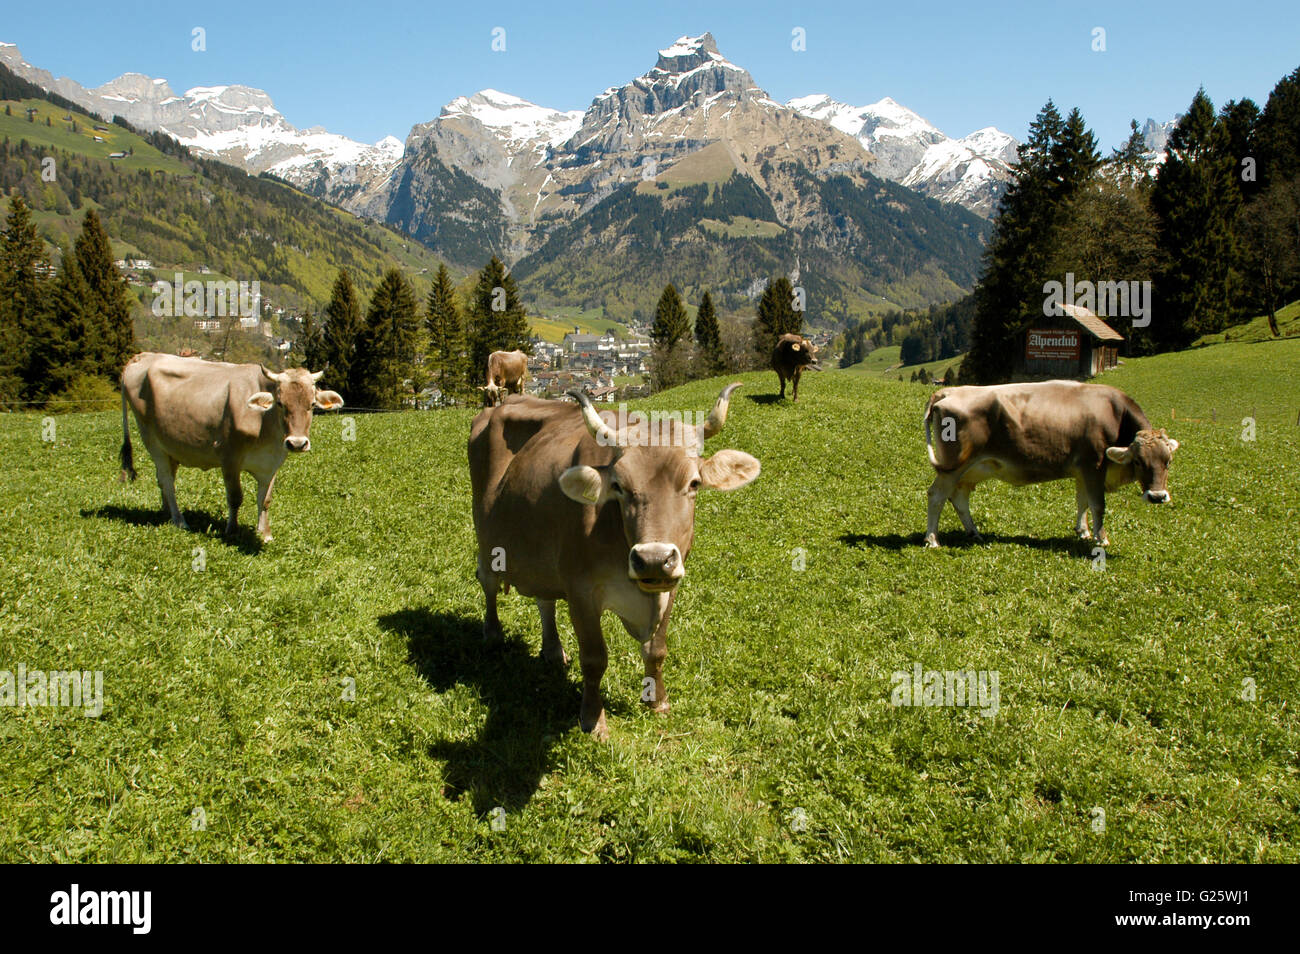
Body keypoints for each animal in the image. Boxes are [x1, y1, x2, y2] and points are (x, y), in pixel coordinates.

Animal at [119, 353, 344, 542]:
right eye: (280, 403)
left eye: (312, 404)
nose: (297, 443)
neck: (265, 424)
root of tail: (143, 356)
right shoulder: (229, 458)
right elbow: (235, 497)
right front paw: (232, 530)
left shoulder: (272, 463)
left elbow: (265, 500)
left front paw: (265, 534)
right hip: (152, 440)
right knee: (167, 481)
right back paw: (179, 520)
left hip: (171, 446)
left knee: (163, 479)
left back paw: (166, 511)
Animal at [468, 383, 761, 739]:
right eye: (619, 486)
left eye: (694, 483)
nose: (653, 559)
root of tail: (497, 406)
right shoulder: (580, 590)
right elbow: (594, 659)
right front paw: (593, 720)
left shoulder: (671, 584)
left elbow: (656, 650)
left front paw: (657, 701)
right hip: (487, 538)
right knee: (489, 583)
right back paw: (493, 634)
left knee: (544, 599)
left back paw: (552, 650)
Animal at [922, 380, 1179, 548]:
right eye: (1139, 461)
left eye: (1168, 462)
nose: (1157, 496)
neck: (1114, 413)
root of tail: (946, 391)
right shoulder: (1094, 464)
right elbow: (1098, 504)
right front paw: (1101, 538)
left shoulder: (1082, 470)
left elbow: (1083, 501)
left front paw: (1083, 531)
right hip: (954, 466)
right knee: (936, 495)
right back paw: (932, 539)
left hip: (974, 468)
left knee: (959, 497)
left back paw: (974, 533)